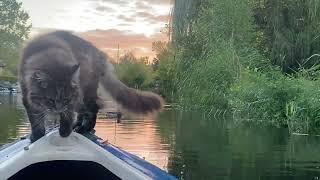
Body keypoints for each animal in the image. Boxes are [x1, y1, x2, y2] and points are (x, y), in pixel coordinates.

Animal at [19, 31, 165, 142]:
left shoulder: (72, 100)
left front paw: (64, 131)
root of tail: (98, 54)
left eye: (65, 99)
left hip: (86, 93)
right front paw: (37, 135)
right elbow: (35, 120)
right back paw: (77, 125)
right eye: (50, 100)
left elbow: (67, 115)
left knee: (94, 108)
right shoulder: (27, 96)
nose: (58, 110)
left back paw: (84, 128)